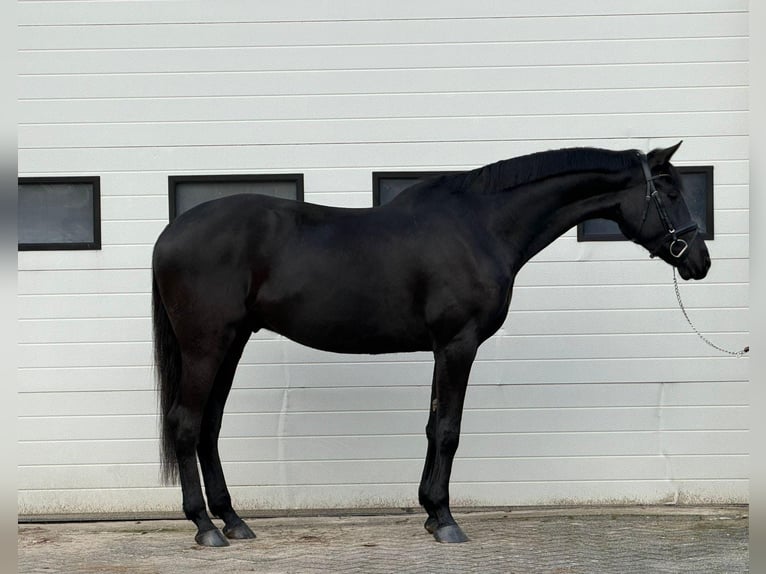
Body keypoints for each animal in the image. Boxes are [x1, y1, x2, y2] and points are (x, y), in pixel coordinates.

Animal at [151, 142, 710, 546]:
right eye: (670, 192)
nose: (699, 261)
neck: (480, 226)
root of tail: (170, 234)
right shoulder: (458, 344)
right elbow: (447, 431)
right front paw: (445, 519)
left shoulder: (445, 348)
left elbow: (431, 426)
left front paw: (428, 512)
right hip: (206, 344)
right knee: (186, 423)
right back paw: (205, 527)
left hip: (232, 341)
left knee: (208, 426)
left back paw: (233, 521)